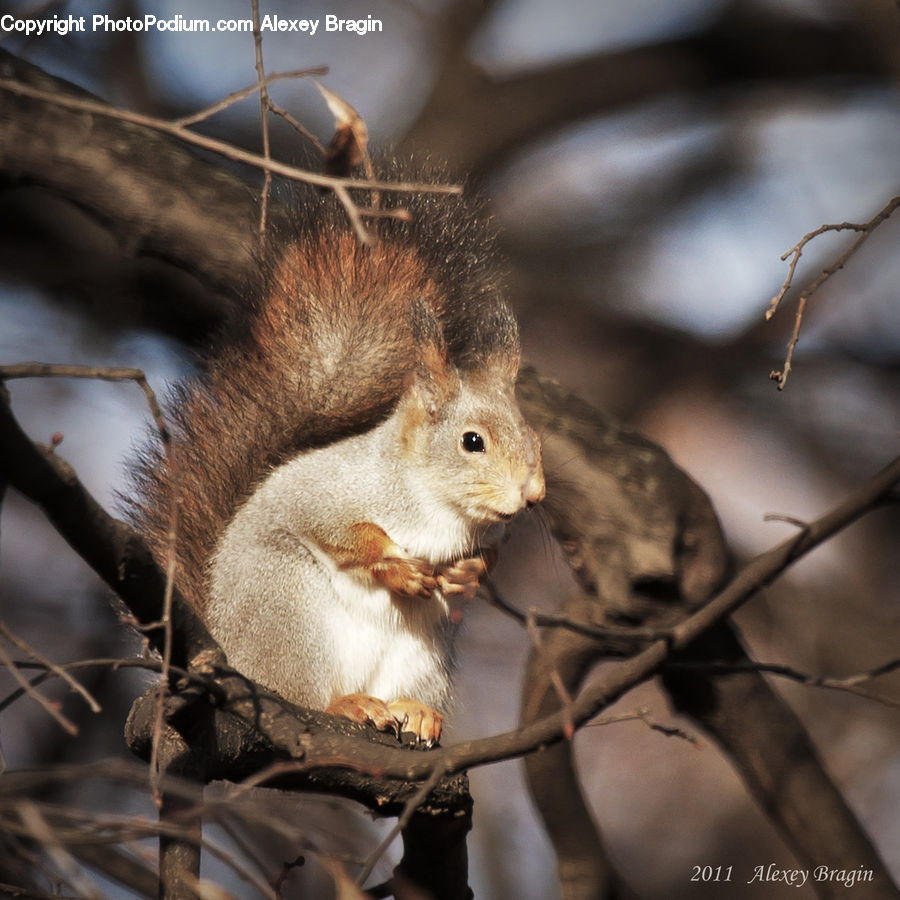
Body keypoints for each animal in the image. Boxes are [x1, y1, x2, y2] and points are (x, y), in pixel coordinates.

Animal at [128, 165, 544, 745]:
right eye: (472, 441)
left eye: (534, 437)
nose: (534, 494)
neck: (440, 509)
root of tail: (228, 656)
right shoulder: (329, 492)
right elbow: (343, 532)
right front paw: (397, 566)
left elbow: (487, 560)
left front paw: (466, 574)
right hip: (290, 613)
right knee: (308, 695)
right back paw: (347, 703)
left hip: (423, 656)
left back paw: (414, 711)